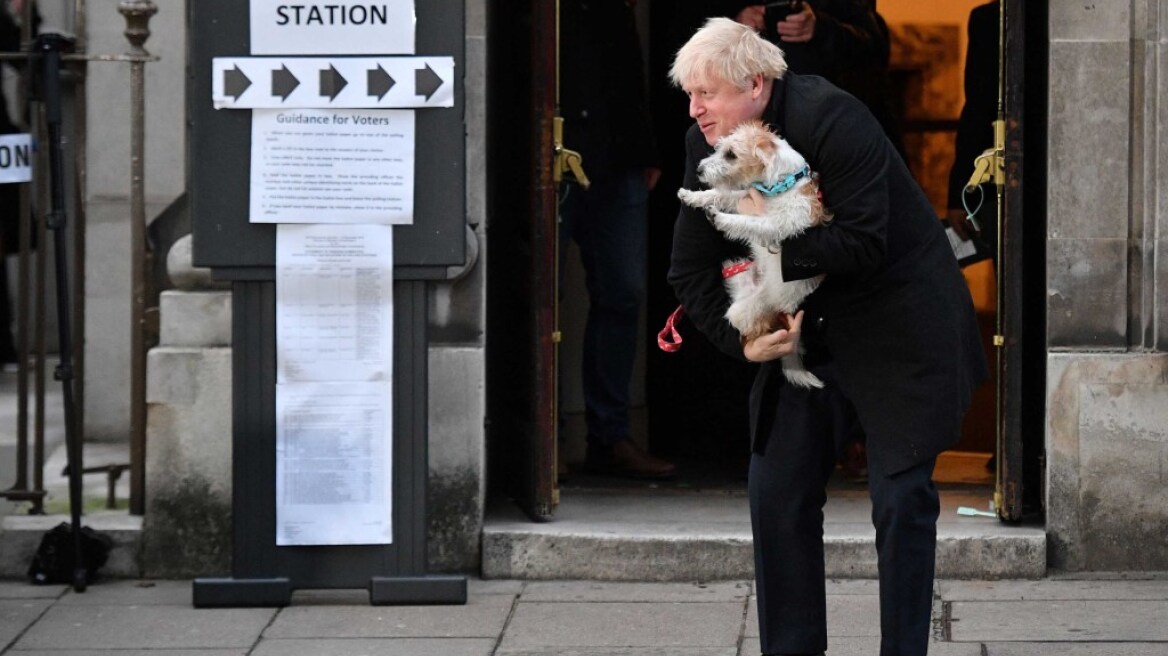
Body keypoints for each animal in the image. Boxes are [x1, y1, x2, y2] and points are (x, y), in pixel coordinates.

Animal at [677, 119, 831, 385]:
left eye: (731, 154)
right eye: (719, 148)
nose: (699, 170)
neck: (782, 186)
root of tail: (781, 311)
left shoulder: (777, 224)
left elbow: (748, 222)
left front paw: (721, 218)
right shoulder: (743, 195)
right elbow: (722, 194)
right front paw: (692, 196)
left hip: (745, 312)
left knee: (748, 328)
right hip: (734, 270)